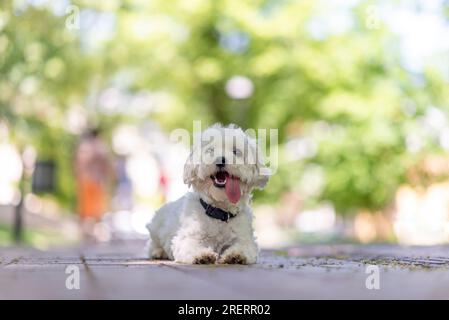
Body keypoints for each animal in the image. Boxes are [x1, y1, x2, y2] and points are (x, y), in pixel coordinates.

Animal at [145, 124, 268, 264]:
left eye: (236, 151)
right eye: (211, 150)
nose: (220, 160)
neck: (219, 212)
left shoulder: (246, 239)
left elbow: (244, 247)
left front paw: (235, 255)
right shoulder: (186, 238)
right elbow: (190, 246)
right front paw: (202, 255)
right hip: (155, 227)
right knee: (153, 244)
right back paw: (159, 252)